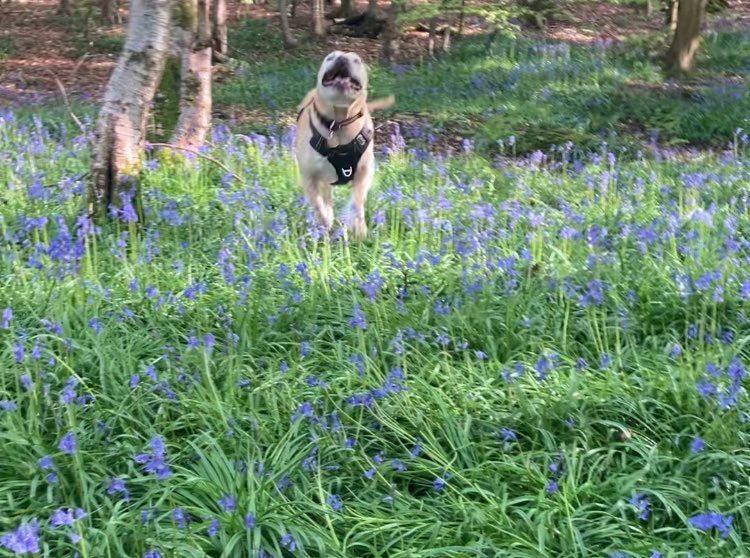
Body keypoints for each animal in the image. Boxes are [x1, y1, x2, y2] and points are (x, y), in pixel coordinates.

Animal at [296, 49, 396, 238]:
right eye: (330, 57)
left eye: (356, 60)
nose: (342, 58)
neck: (339, 122)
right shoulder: (310, 177)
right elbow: (319, 206)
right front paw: (326, 223)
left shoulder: (364, 171)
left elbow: (357, 201)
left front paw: (358, 227)